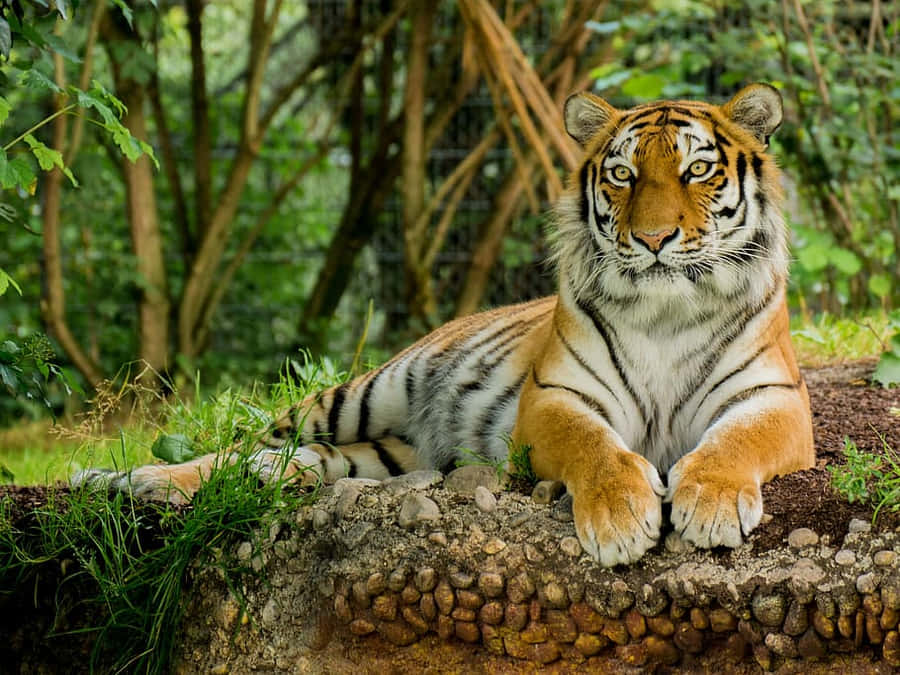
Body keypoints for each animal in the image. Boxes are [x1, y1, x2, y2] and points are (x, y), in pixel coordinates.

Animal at [75, 83, 814, 567]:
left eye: (697, 170)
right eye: (623, 175)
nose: (654, 238)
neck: (665, 310)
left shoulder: (772, 400)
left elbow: (733, 443)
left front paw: (710, 503)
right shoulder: (555, 399)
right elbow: (595, 448)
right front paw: (622, 518)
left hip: (382, 454)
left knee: (289, 462)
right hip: (358, 393)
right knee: (239, 447)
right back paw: (130, 480)